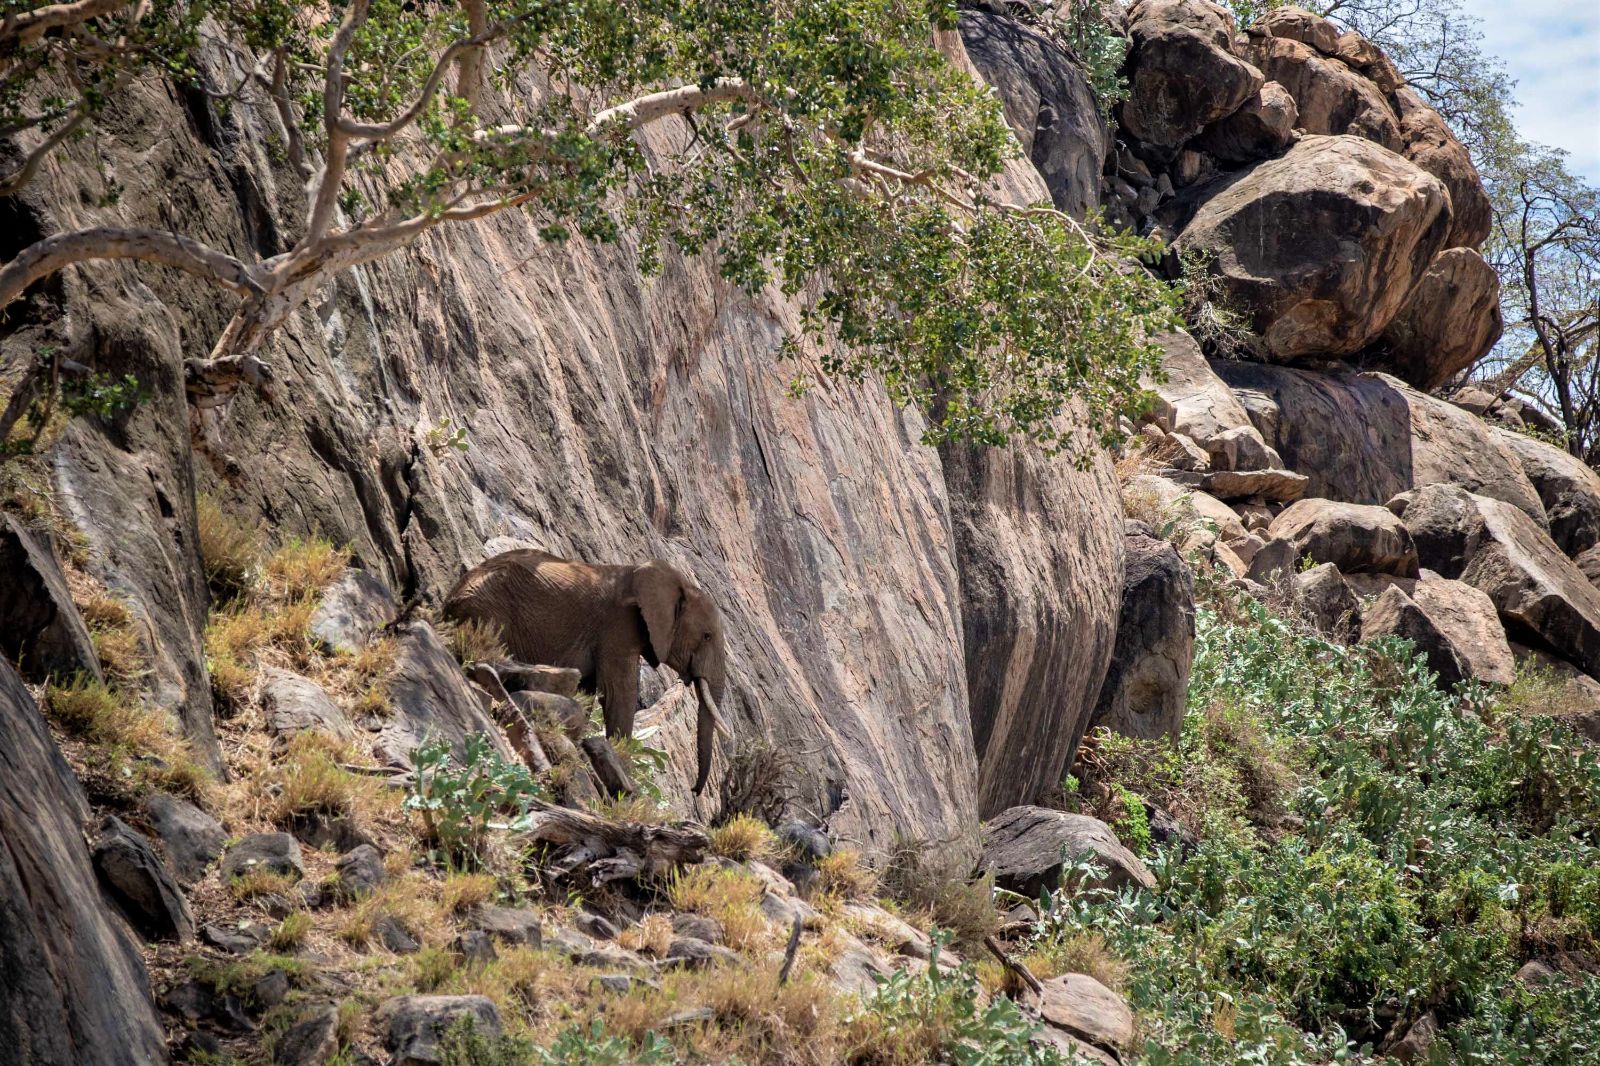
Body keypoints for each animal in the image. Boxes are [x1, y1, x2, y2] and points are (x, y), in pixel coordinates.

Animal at [441, 549, 731, 794]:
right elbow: (618, 693)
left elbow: (588, 690)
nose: (694, 790)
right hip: (487, 611)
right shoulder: (619, 627)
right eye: (706, 636)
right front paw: (624, 766)